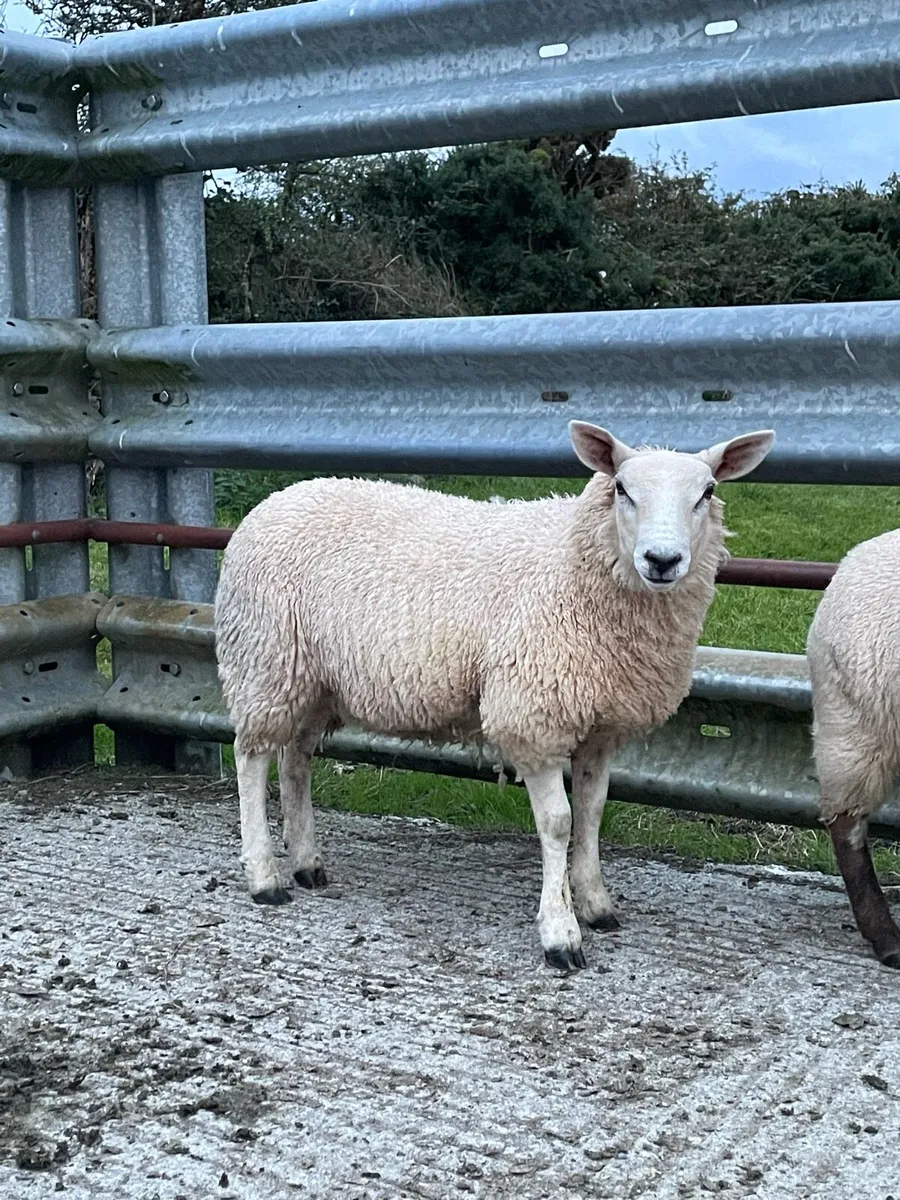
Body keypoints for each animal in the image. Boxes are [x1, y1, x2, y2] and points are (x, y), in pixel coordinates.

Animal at [215, 421, 774, 970]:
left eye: (707, 492)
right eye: (622, 489)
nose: (662, 560)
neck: (574, 563)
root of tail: (277, 498)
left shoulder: (602, 726)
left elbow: (592, 812)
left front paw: (596, 904)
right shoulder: (533, 716)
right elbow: (558, 823)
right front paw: (560, 933)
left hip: (314, 681)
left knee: (295, 760)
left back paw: (307, 862)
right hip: (265, 661)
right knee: (252, 757)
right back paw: (264, 876)